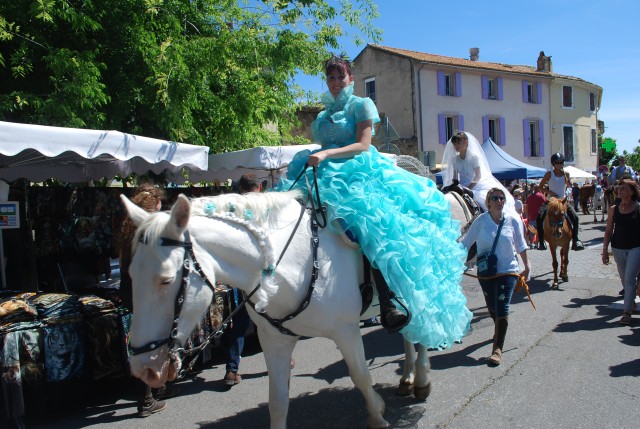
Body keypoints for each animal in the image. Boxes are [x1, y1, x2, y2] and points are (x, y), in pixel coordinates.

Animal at [121, 190, 470, 428]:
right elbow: (277, 401)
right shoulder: (275, 341)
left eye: (166, 280)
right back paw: (407, 379)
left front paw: (378, 417)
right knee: (409, 333)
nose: (143, 369)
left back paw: (421, 379)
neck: (289, 265)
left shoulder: (346, 331)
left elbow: (360, 376)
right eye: (130, 275)